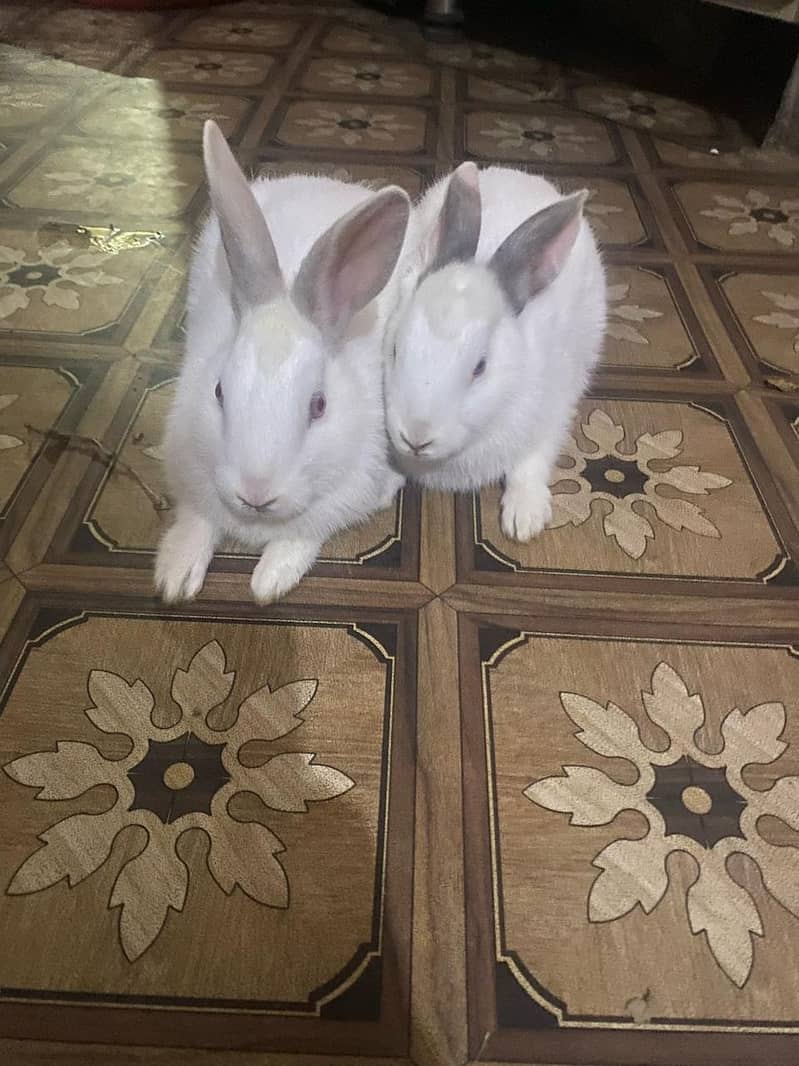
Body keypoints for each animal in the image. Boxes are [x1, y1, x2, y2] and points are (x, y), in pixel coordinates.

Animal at [154, 120, 410, 604]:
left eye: (319, 406)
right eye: (218, 391)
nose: (256, 493)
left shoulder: (338, 501)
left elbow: (301, 538)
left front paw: (268, 581)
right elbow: (196, 521)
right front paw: (174, 576)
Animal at [384, 162, 606, 541]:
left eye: (480, 367)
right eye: (396, 348)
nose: (416, 437)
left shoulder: (550, 412)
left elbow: (531, 462)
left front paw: (524, 520)